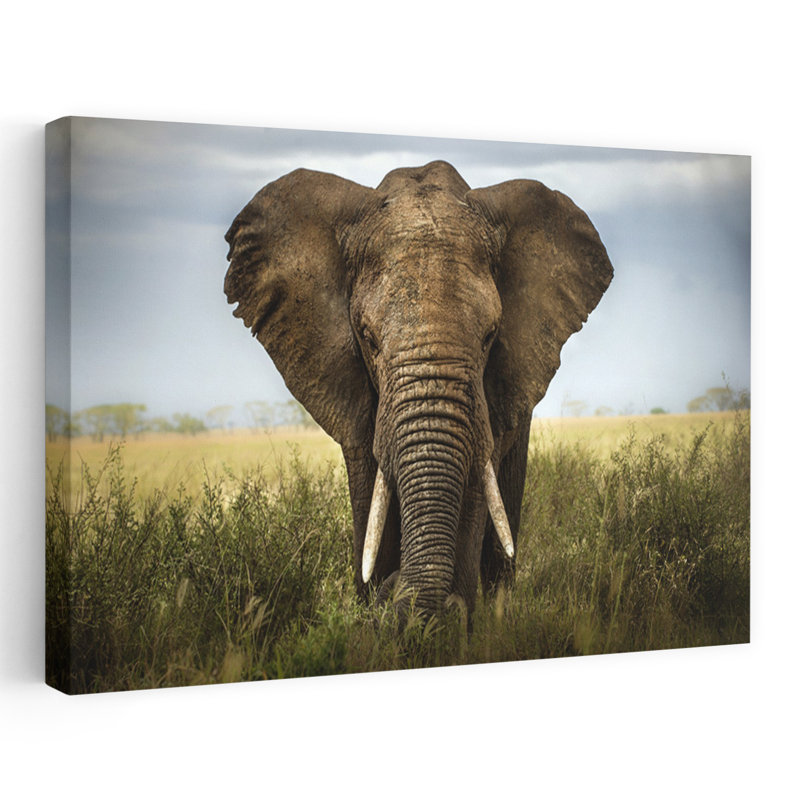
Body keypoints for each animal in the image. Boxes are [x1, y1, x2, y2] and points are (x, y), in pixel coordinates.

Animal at [224, 160, 613, 623]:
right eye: (368, 338)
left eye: (490, 336)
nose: (394, 589)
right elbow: (370, 485)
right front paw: (378, 608)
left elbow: (474, 487)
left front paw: (447, 619)